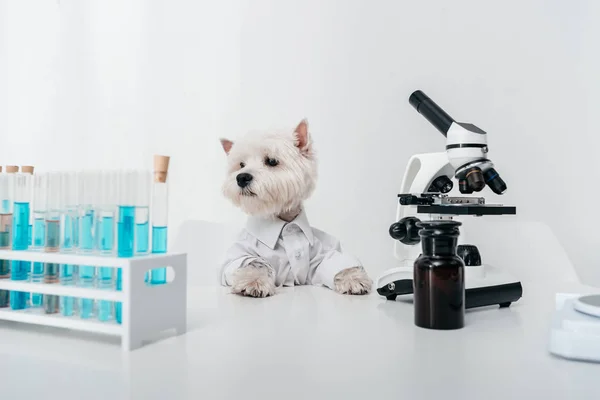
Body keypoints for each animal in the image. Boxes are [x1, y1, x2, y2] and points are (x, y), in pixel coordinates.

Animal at [218, 119, 372, 296]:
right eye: (241, 164)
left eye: (272, 161)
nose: (242, 177)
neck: (285, 221)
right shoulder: (241, 253)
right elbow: (252, 264)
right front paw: (253, 281)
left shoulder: (321, 252)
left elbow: (335, 261)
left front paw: (354, 279)